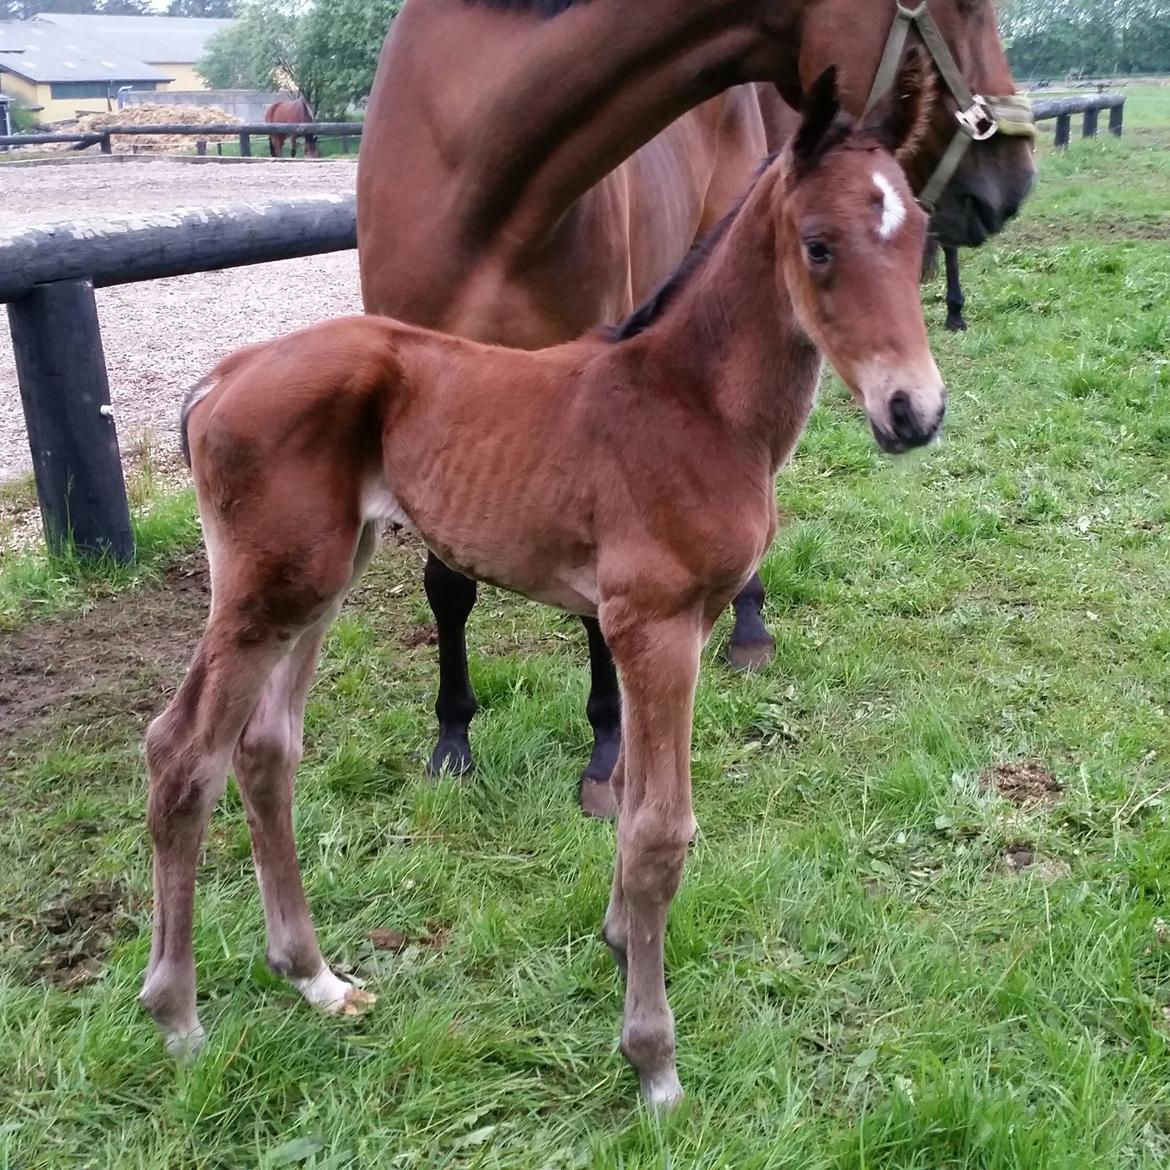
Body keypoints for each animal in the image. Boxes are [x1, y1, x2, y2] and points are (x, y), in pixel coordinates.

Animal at [141, 57, 940, 1104]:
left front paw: (616, 942)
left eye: (920, 233)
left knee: (265, 751)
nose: (914, 411)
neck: (695, 405)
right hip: (268, 589)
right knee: (182, 752)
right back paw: (178, 1020)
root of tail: (219, 377)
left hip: (323, 577)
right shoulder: (653, 626)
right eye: (819, 246)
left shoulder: (670, 630)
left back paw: (316, 980)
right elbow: (659, 833)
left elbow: (632, 803)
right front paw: (653, 1064)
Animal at [355, 0, 1034, 814]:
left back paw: (747, 625)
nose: (1012, 183)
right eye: (964, 8)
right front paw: (453, 742)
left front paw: (606, 752)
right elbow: (450, 586)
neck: (486, 186)